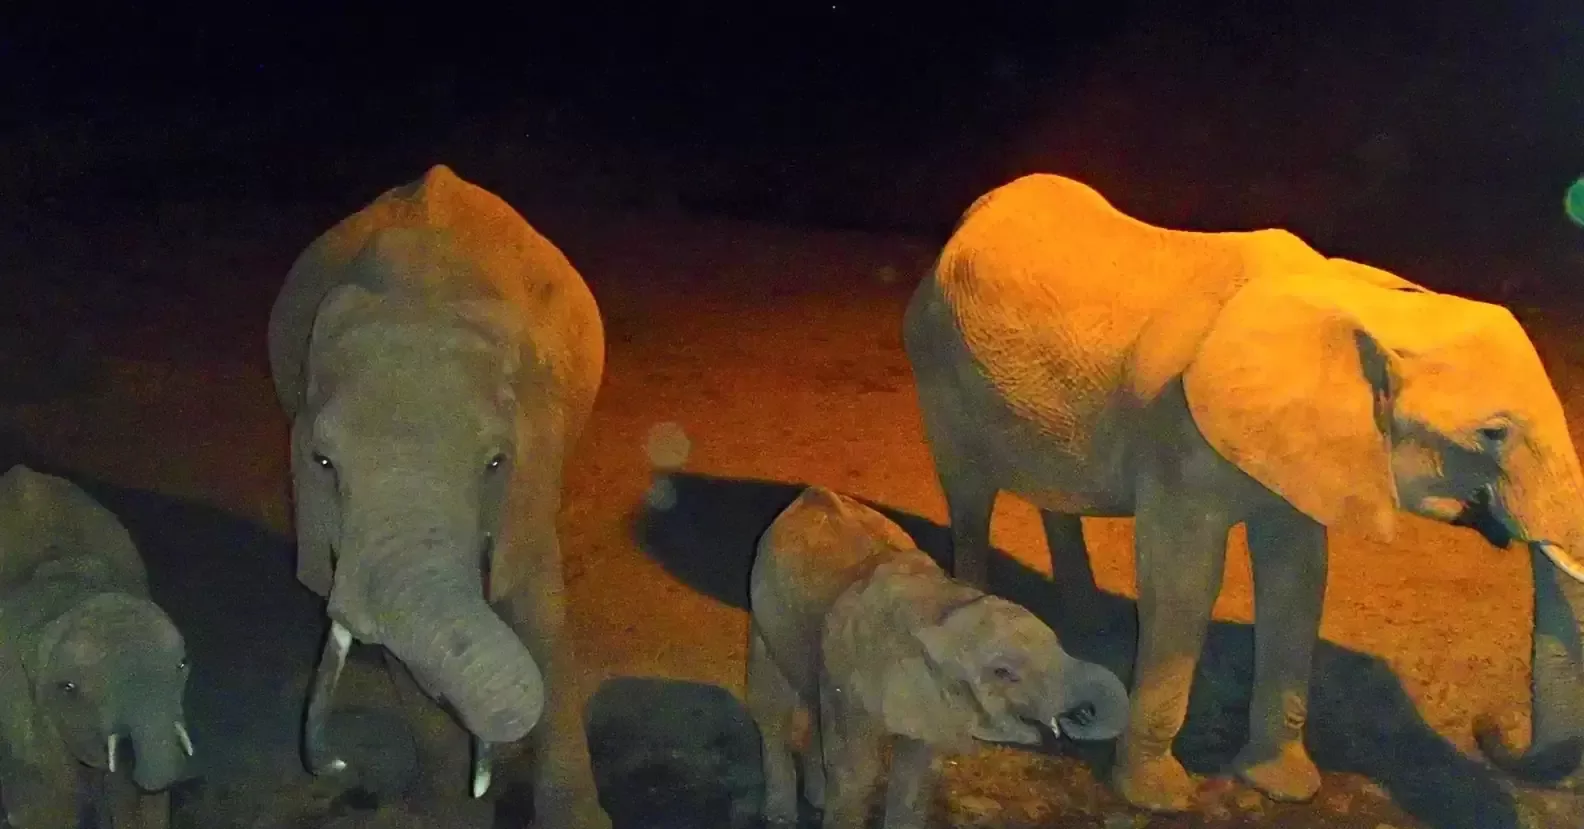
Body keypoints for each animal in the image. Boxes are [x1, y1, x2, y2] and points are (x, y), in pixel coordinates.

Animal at [262, 165, 608, 824]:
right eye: (322, 463)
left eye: (496, 463)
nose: (338, 764)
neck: (419, 300)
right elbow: (401, 656)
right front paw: (446, 811)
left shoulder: (536, 460)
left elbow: (540, 613)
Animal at [747, 488, 1134, 829]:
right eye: (1003, 672)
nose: (1078, 715)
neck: (943, 607)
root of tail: (807, 494)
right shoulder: (850, 675)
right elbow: (857, 773)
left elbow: (912, 778)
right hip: (763, 615)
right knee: (772, 708)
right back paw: (781, 816)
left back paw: (816, 798)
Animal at [906, 171, 1584, 811]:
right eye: (1493, 433)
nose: (1489, 725)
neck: (1358, 307)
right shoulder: (1176, 424)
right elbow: (1185, 580)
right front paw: (1158, 799)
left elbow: (1297, 577)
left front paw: (1283, 788)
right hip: (938, 364)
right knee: (969, 495)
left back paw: (1087, 624)